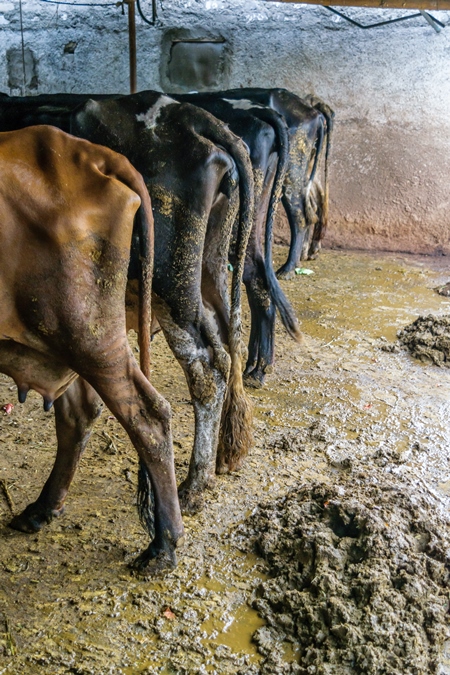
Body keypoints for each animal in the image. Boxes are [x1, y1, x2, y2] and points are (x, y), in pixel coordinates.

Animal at [0, 124, 184, 572]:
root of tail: (87, 153)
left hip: (89, 335)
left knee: (149, 416)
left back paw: (163, 545)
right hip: (69, 341)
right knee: (80, 411)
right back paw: (42, 508)